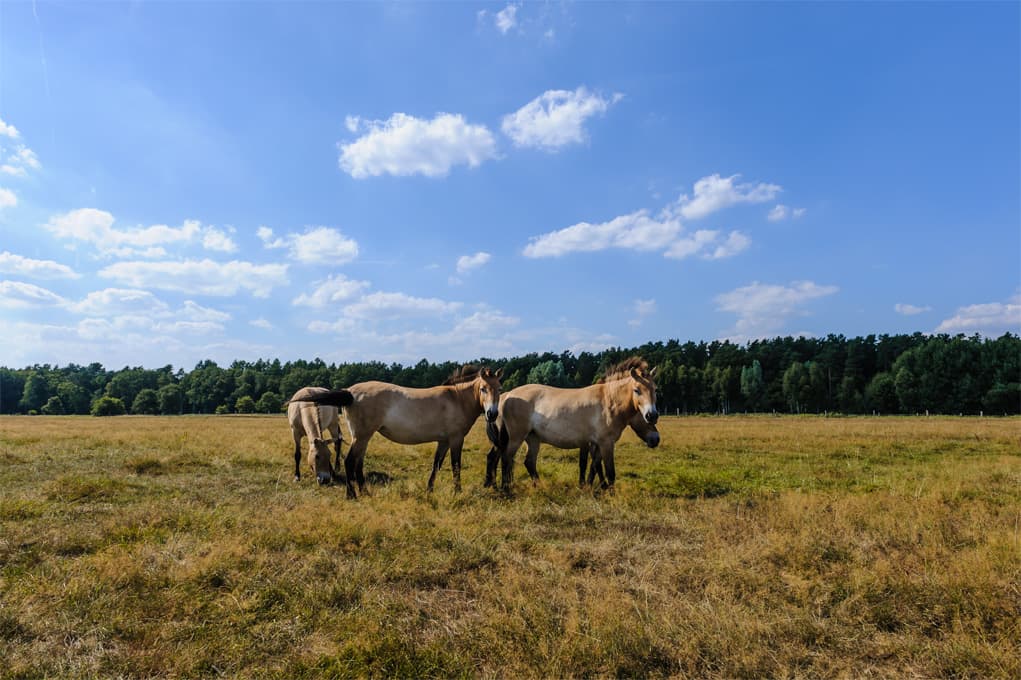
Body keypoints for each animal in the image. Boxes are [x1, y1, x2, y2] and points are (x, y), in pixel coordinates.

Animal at [289, 365, 500, 498]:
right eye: (483, 388)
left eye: (499, 388)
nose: (492, 414)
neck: (456, 399)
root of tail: (350, 392)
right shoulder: (456, 439)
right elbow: (456, 465)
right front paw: (458, 491)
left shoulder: (444, 441)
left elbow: (436, 465)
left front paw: (429, 490)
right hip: (362, 436)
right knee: (350, 462)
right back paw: (352, 495)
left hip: (363, 437)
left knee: (358, 463)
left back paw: (364, 492)